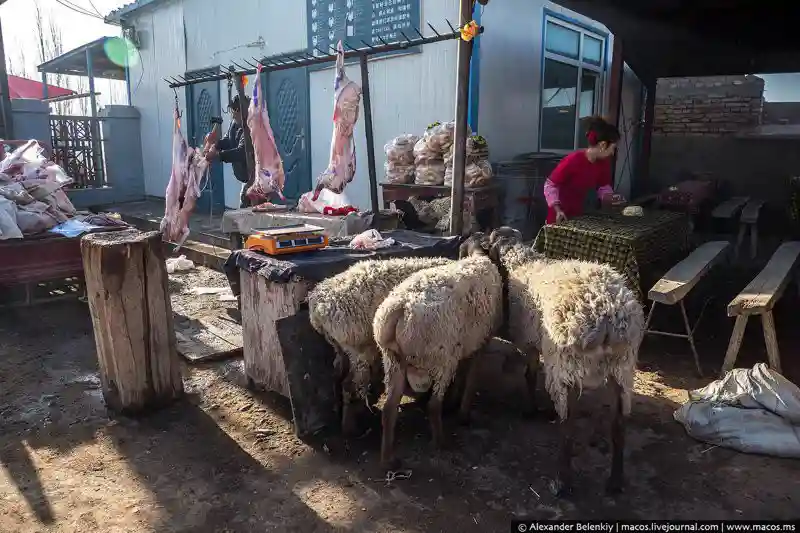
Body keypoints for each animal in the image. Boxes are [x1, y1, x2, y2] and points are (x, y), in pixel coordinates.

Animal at [308, 256, 456, 434]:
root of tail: (317, 308)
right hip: (359, 349)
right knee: (350, 384)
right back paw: (350, 427)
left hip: (341, 348)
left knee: (338, 375)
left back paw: (340, 412)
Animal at [374, 235, 500, 468]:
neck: (478, 255)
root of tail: (399, 308)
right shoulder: (481, 343)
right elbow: (471, 380)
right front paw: (463, 415)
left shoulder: (464, 344)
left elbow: (462, 377)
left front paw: (455, 404)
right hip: (441, 358)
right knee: (433, 405)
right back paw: (441, 442)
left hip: (393, 360)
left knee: (389, 409)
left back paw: (388, 460)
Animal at [484, 227, 648, 496]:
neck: (523, 262)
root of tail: (607, 317)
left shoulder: (530, 343)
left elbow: (529, 375)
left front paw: (530, 411)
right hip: (622, 368)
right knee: (619, 425)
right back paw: (615, 481)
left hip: (563, 365)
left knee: (567, 426)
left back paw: (561, 481)